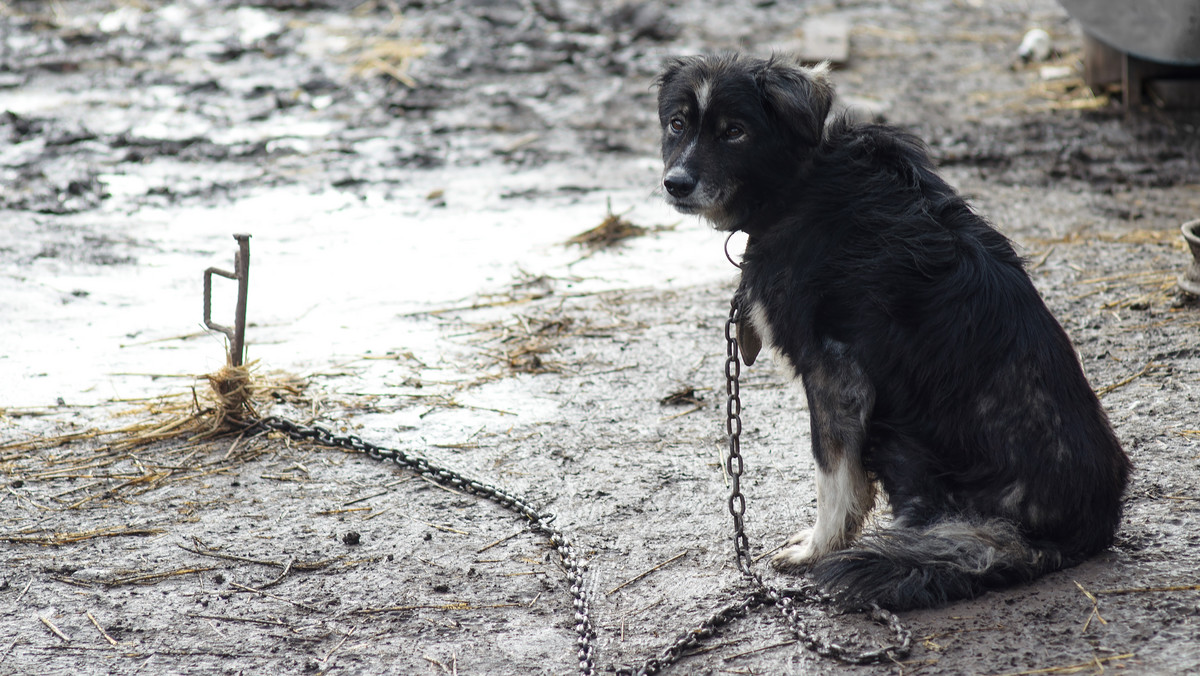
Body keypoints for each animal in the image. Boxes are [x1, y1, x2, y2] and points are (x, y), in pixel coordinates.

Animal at [662, 54, 1128, 614]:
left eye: (735, 131)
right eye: (677, 124)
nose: (675, 183)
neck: (800, 181)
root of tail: (1082, 532)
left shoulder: (835, 374)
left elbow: (834, 475)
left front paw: (818, 548)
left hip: (901, 434)